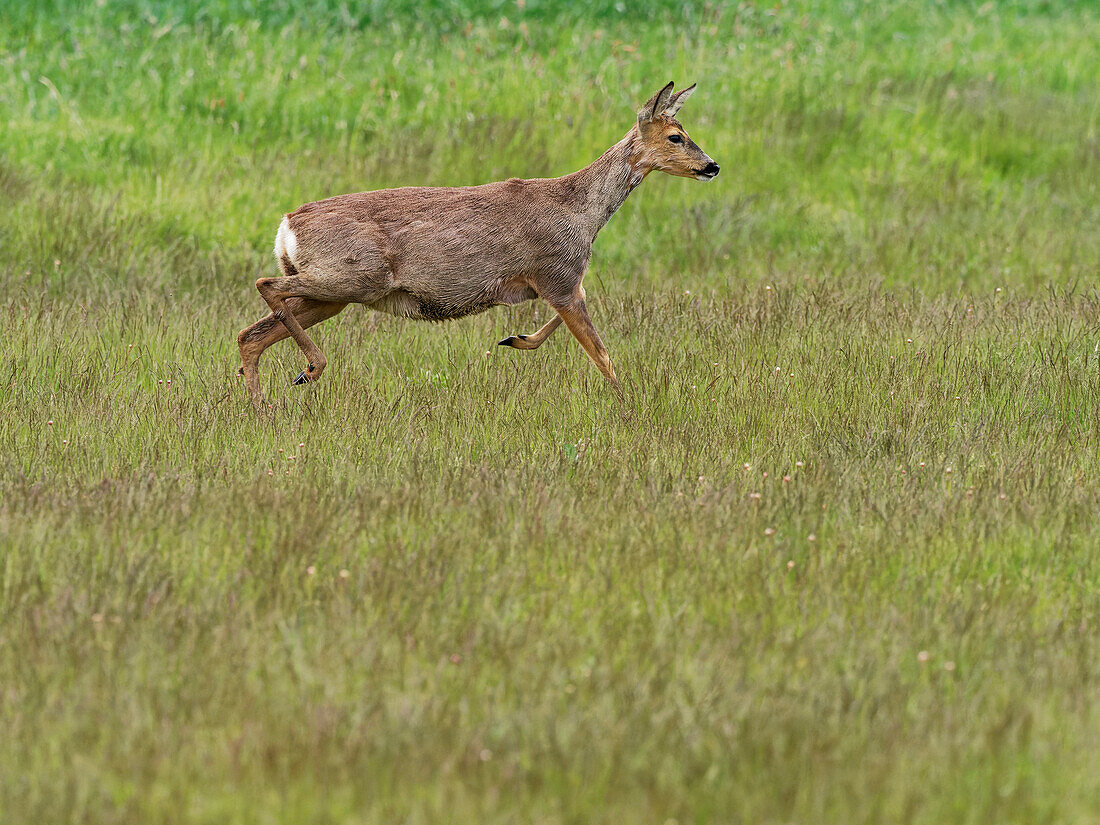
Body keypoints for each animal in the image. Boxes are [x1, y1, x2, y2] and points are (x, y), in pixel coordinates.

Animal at [237, 81, 717, 407]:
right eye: (675, 137)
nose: (712, 166)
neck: (582, 212)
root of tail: (286, 225)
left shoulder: (553, 282)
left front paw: (514, 340)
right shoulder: (558, 273)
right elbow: (602, 355)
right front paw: (629, 407)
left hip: (332, 294)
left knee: (251, 334)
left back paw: (265, 406)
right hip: (352, 277)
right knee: (265, 288)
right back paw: (310, 370)